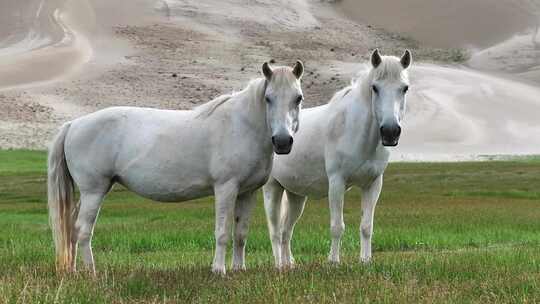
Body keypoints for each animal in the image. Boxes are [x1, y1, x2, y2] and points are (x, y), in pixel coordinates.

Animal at [47, 60, 304, 274]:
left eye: (298, 98)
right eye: (268, 98)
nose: (283, 141)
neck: (241, 125)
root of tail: (74, 124)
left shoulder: (247, 192)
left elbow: (240, 233)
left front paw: (239, 270)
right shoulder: (226, 188)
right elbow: (222, 232)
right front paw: (218, 270)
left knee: (72, 229)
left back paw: (73, 271)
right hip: (94, 191)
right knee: (83, 230)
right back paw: (92, 274)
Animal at [264, 50, 412, 268]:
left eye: (404, 88)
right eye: (375, 87)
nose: (390, 131)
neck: (355, 131)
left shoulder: (373, 184)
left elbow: (366, 226)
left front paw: (365, 261)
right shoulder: (336, 182)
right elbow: (336, 226)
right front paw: (333, 262)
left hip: (296, 195)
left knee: (286, 231)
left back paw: (289, 264)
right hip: (272, 188)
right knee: (275, 231)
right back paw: (278, 265)